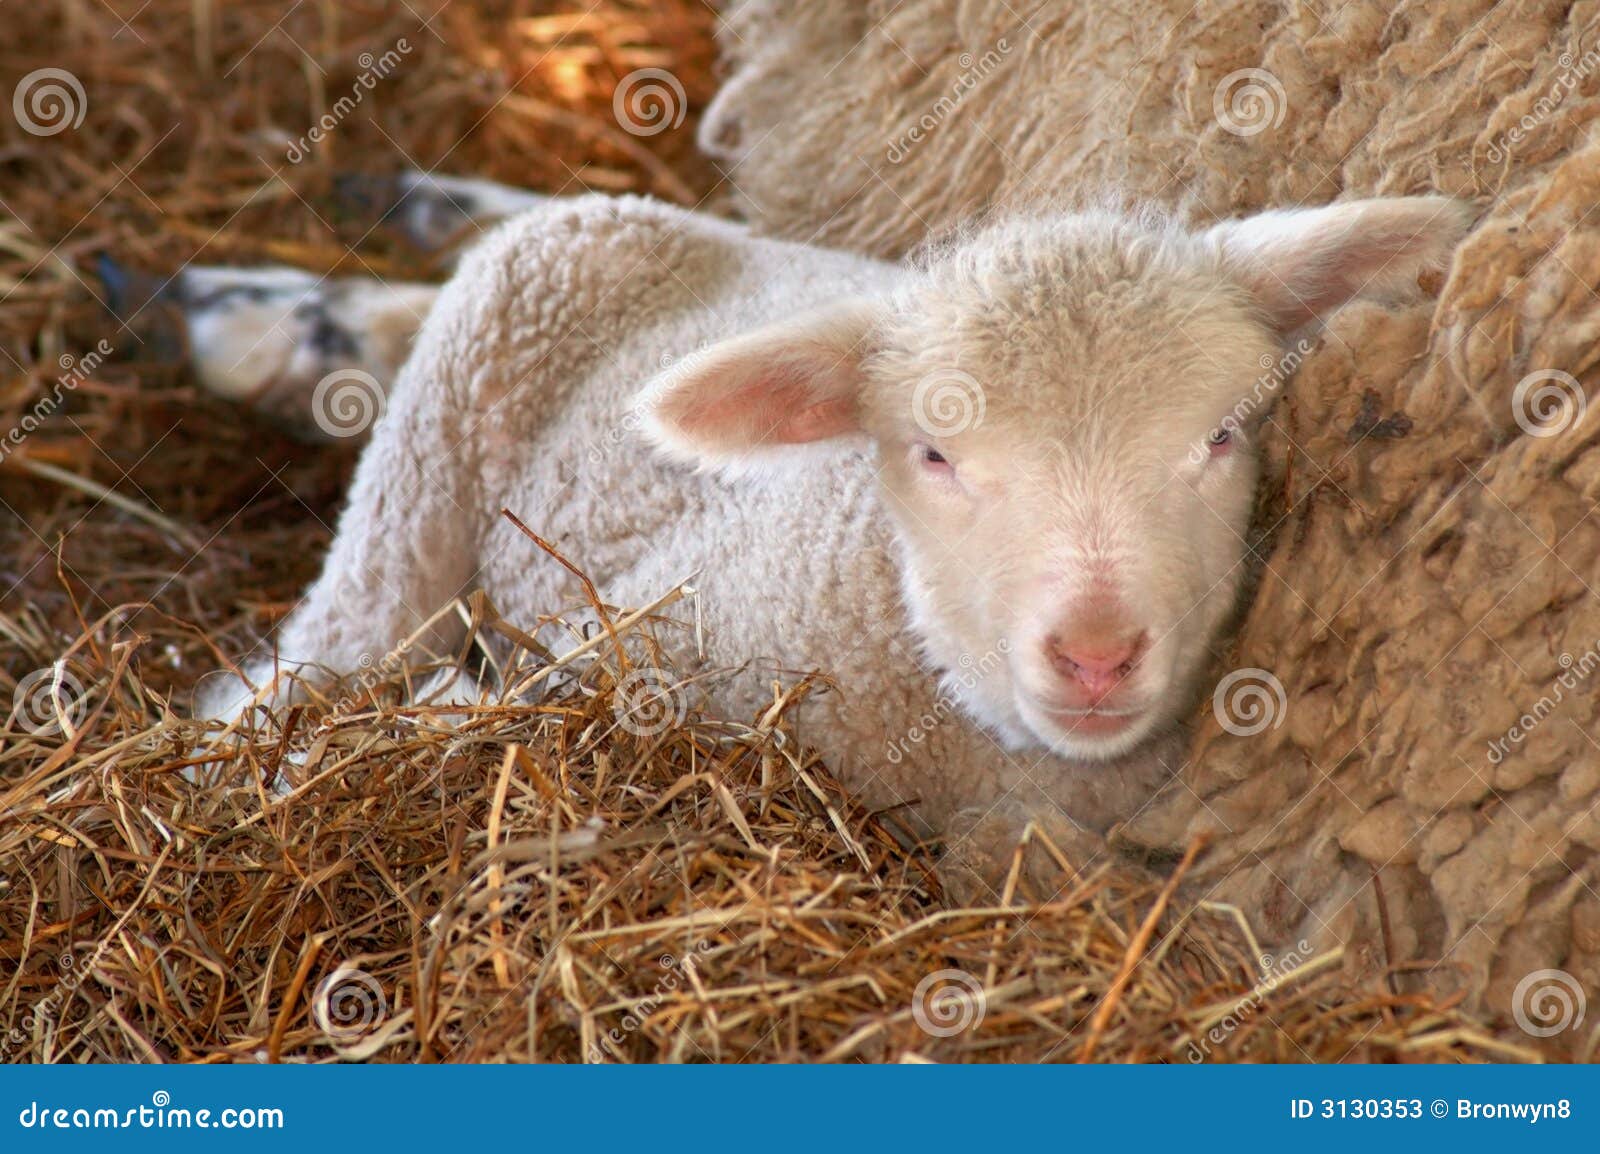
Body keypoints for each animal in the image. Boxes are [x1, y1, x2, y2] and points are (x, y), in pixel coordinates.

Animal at [197, 189, 1469, 900]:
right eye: (935, 455)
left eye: (1219, 435)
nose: (1097, 653)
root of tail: (625, 206)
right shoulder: (619, 646)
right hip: (421, 478)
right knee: (326, 646)